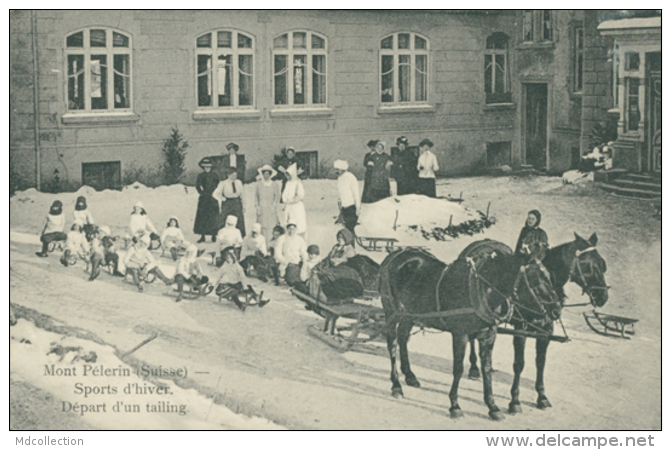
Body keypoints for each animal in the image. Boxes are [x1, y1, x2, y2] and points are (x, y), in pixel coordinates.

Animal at [378, 243, 560, 422]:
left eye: (550, 276)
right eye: (535, 277)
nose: (556, 310)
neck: (484, 290)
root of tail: (396, 254)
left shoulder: (488, 336)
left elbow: (487, 369)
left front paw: (492, 406)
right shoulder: (460, 335)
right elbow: (458, 369)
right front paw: (455, 406)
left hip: (410, 314)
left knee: (403, 337)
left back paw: (409, 376)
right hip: (392, 311)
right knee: (392, 343)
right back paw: (396, 385)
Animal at [468, 232, 608, 414]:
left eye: (602, 264)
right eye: (590, 266)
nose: (603, 297)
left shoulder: (546, 330)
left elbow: (540, 363)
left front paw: (542, 397)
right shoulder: (521, 329)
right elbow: (519, 364)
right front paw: (515, 401)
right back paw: (473, 368)